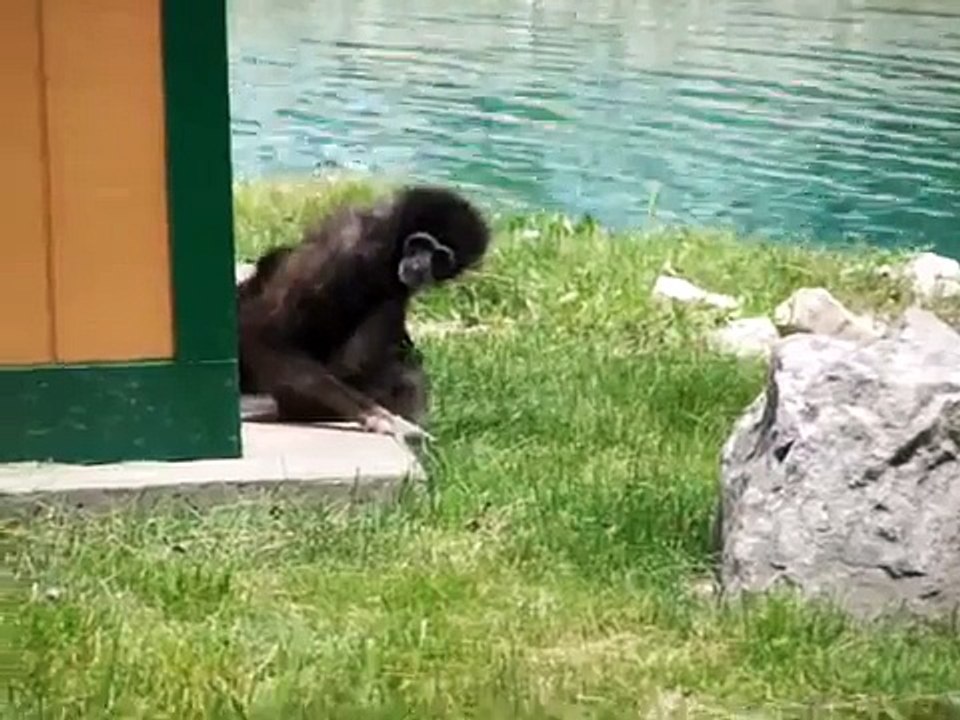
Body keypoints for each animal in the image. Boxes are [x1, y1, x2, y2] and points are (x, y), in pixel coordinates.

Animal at [236, 185, 491, 440]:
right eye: (419, 245)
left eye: (440, 258)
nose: (420, 265)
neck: (387, 246)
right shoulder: (347, 254)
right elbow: (264, 335)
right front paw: (374, 415)